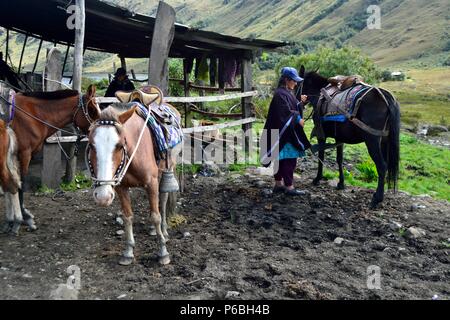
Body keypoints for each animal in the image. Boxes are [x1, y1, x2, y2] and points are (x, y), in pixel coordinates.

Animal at [0, 85, 100, 235]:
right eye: (92, 110)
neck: (32, 114)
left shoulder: (15, 157)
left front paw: (17, 217)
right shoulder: (24, 154)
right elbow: (20, 184)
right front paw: (24, 217)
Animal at [87, 104, 182, 266]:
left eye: (120, 145)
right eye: (92, 145)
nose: (103, 196)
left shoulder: (151, 183)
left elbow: (155, 216)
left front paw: (163, 252)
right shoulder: (121, 187)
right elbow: (127, 217)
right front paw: (128, 252)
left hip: (168, 168)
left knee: (163, 199)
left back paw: (164, 231)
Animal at [298, 66, 400, 209]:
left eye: (297, 84)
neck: (319, 94)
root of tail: (385, 96)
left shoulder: (321, 135)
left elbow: (321, 156)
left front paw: (317, 179)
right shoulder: (340, 138)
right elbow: (339, 159)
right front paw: (341, 183)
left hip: (372, 140)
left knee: (382, 166)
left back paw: (377, 199)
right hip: (385, 142)